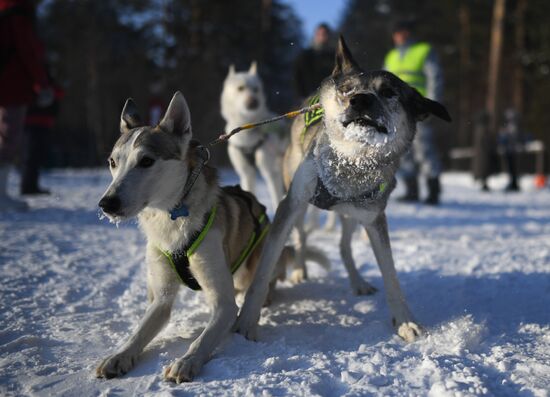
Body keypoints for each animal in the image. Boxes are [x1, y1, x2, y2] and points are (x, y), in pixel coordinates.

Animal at [96, 91, 326, 382]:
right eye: (113, 162)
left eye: (146, 160)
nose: (106, 204)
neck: (170, 221)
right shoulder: (161, 298)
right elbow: (139, 331)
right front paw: (119, 356)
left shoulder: (225, 304)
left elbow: (203, 338)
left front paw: (187, 361)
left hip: (254, 265)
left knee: (265, 280)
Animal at [234, 35, 452, 342]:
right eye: (346, 90)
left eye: (388, 92)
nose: (359, 99)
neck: (351, 162)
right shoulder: (292, 203)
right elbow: (264, 270)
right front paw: (247, 321)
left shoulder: (373, 217)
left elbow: (390, 273)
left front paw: (404, 320)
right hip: (297, 205)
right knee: (301, 238)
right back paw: (300, 270)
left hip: (352, 214)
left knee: (343, 245)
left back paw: (357, 281)